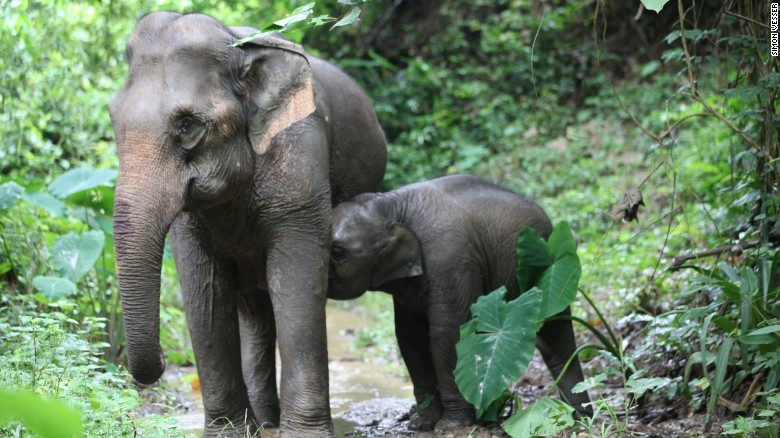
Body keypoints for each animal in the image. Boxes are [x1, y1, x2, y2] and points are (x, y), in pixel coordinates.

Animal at [108, 12, 388, 436]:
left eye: (187, 126)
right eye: (112, 118)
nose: (162, 361)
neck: (239, 48)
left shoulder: (301, 160)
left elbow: (297, 285)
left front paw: (304, 434)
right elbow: (205, 293)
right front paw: (229, 431)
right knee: (254, 310)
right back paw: (263, 420)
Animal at [330, 174, 592, 432]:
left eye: (336, 252)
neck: (389, 204)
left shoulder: (449, 262)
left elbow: (447, 334)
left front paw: (449, 426)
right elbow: (409, 337)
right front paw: (420, 424)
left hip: (547, 274)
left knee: (556, 335)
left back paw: (578, 415)